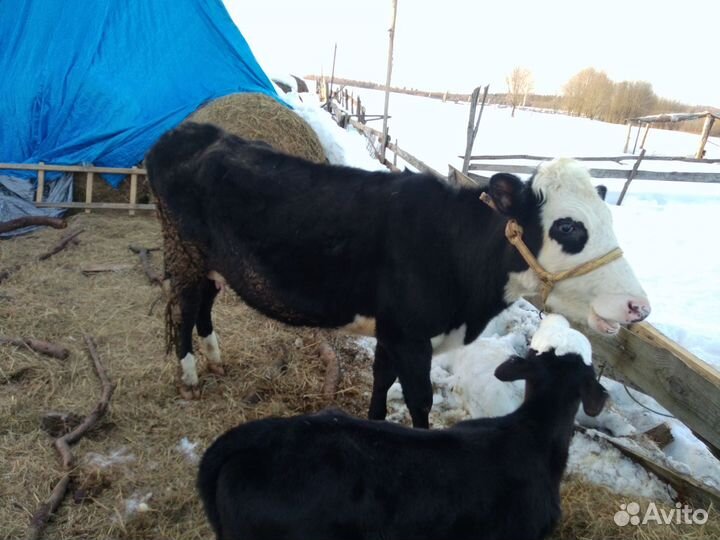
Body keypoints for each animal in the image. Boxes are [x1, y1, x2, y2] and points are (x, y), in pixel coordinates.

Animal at [145, 122, 650, 427]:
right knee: (184, 309)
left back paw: (215, 359)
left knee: (205, 304)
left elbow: (380, 384)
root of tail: (191, 129)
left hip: (213, 262)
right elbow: (418, 400)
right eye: (568, 227)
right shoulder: (410, 338)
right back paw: (190, 378)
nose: (638, 306)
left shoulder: (391, 332)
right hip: (184, 253)